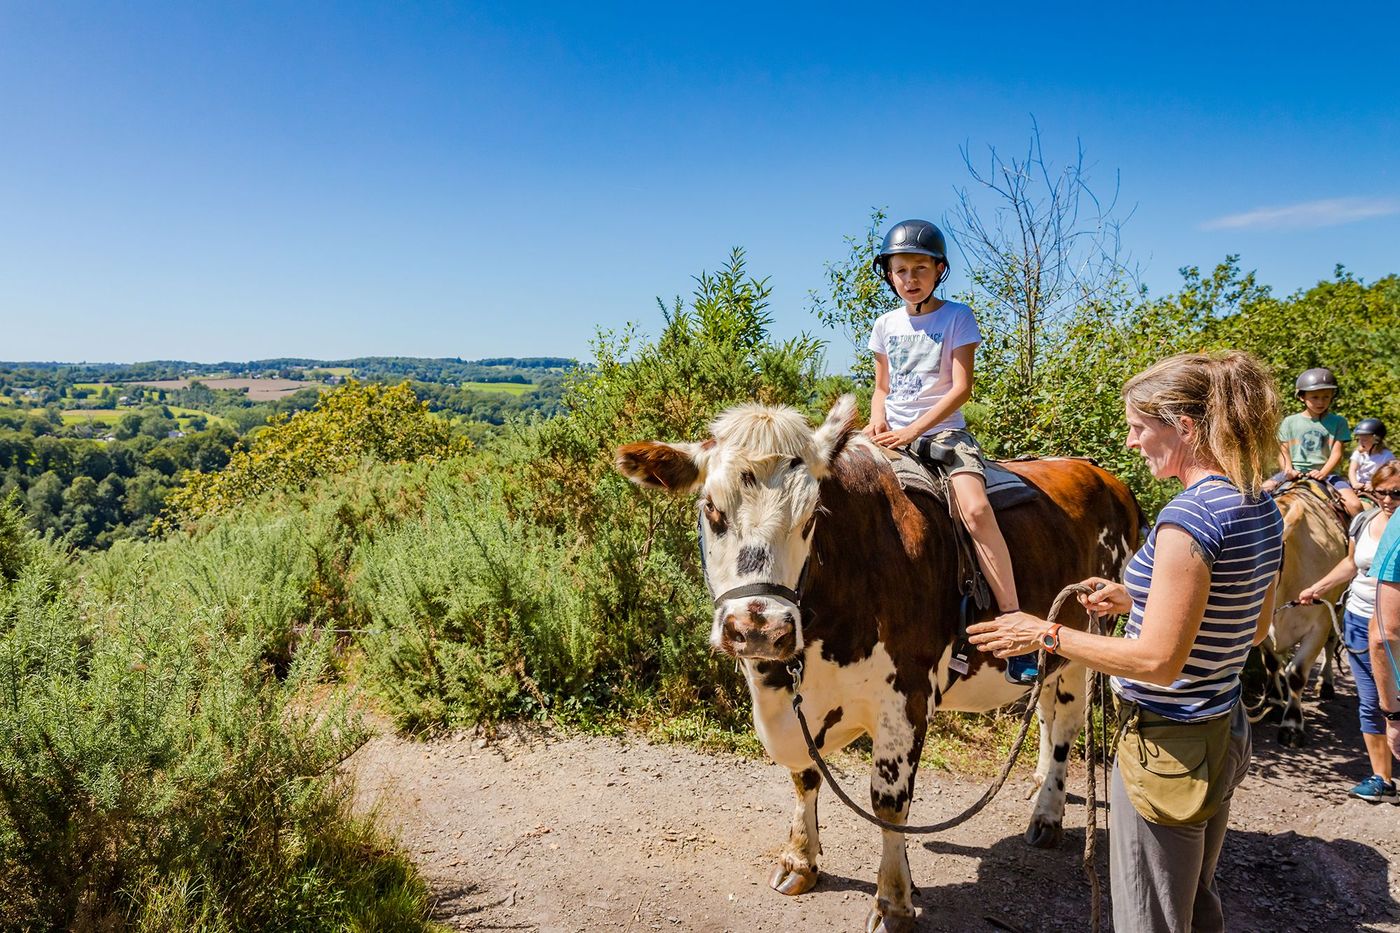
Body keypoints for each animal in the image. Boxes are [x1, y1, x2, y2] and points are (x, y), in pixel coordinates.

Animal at [616, 396, 1142, 932]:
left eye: (811, 516)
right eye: (711, 508)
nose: (760, 628)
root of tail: (1105, 477)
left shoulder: (906, 698)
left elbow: (889, 804)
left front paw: (893, 902)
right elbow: (804, 775)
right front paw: (800, 860)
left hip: (1085, 637)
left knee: (1067, 723)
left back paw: (1047, 815)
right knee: (1046, 712)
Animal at [1248, 480, 1349, 747]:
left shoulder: (1319, 625)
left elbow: (1297, 673)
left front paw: (1292, 725)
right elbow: (1272, 664)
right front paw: (1274, 703)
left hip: (1338, 609)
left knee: (1331, 644)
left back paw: (1327, 684)